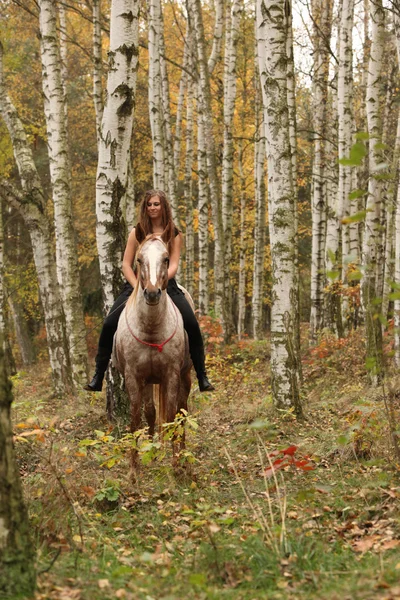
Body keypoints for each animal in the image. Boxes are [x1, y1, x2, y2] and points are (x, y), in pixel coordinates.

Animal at [112, 234, 192, 478]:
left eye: (166, 258)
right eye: (139, 259)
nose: (153, 293)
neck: (151, 329)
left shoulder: (171, 375)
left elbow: (172, 417)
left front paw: (175, 465)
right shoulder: (133, 377)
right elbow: (136, 418)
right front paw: (134, 470)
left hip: (186, 376)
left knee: (182, 412)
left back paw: (183, 455)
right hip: (148, 381)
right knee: (150, 413)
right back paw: (154, 453)